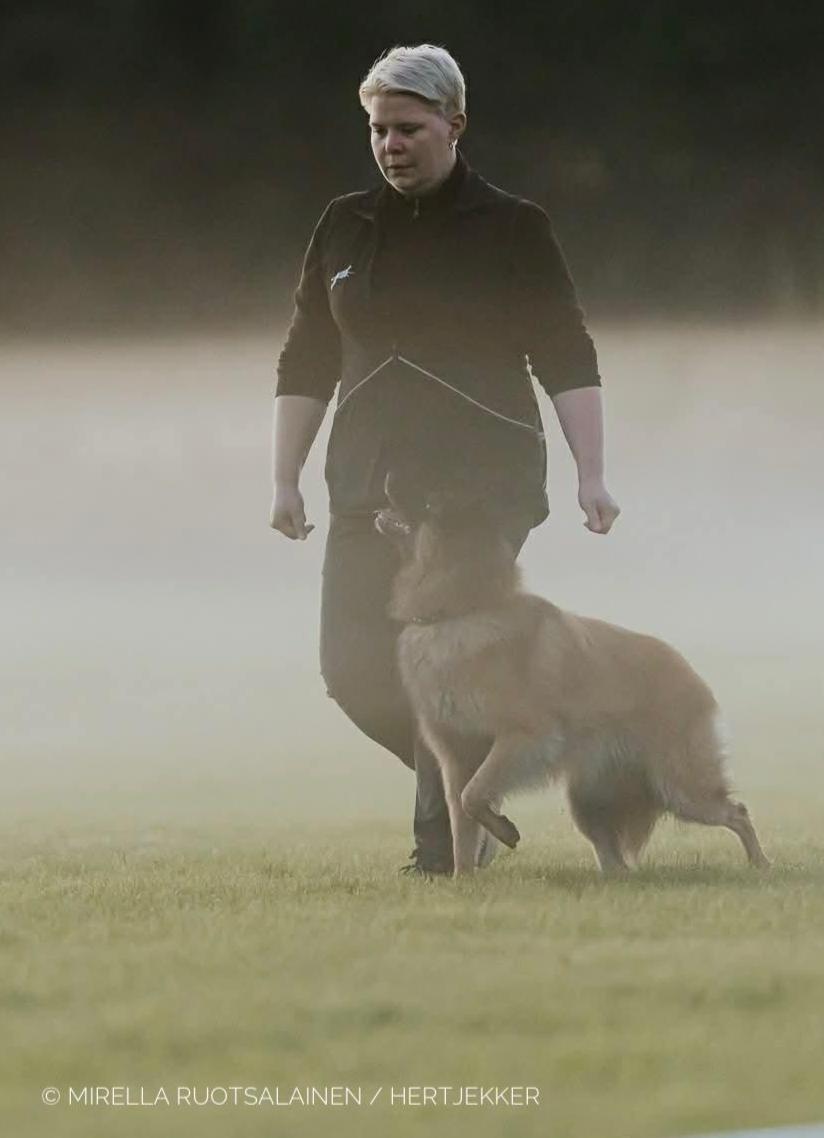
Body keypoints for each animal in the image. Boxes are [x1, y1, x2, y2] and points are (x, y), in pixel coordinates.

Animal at [375, 475, 769, 878]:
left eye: (430, 499)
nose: (388, 477)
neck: (462, 611)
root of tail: (691, 673)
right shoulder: (456, 758)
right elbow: (462, 824)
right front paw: (463, 877)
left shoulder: (524, 738)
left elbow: (474, 796)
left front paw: (503, 831)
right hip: (589, 802)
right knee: (614, 858)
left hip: (682, 788)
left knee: (738, 813)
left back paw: (760, 863)